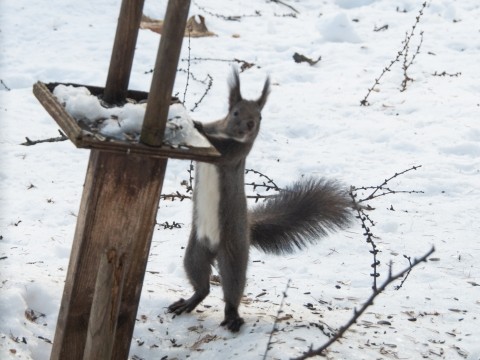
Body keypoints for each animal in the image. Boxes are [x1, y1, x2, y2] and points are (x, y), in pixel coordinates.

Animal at [169, 69, 352, 332]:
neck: (225, 133)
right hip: (195, 253)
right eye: (235, 112)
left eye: (260, 116)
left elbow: (220, 149)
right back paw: (190, 302)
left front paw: (197, 126)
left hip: (233, 252)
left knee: (232, 288)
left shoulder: (234, 153)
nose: (249, 125)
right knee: (202, 285)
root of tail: (246, 230)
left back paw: (232, 316)